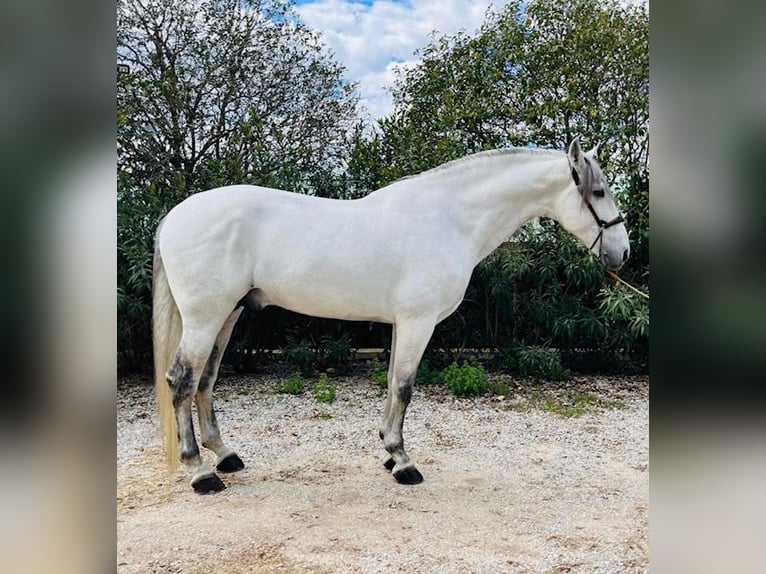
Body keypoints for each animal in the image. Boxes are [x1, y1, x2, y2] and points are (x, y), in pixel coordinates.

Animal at [152, 138, 629, 493]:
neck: (448, 220)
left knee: (206, 381)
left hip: (227, 316)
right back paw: (201, 472)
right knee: (182, 381)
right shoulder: (419, 322)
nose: (622, 253)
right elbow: (404, 387)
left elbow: (390, 385)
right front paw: (403, 462)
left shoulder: (403, 324)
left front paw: (387, 451)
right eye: (599, 192)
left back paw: (225, 456)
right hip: (205, 318)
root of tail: (175, 215)